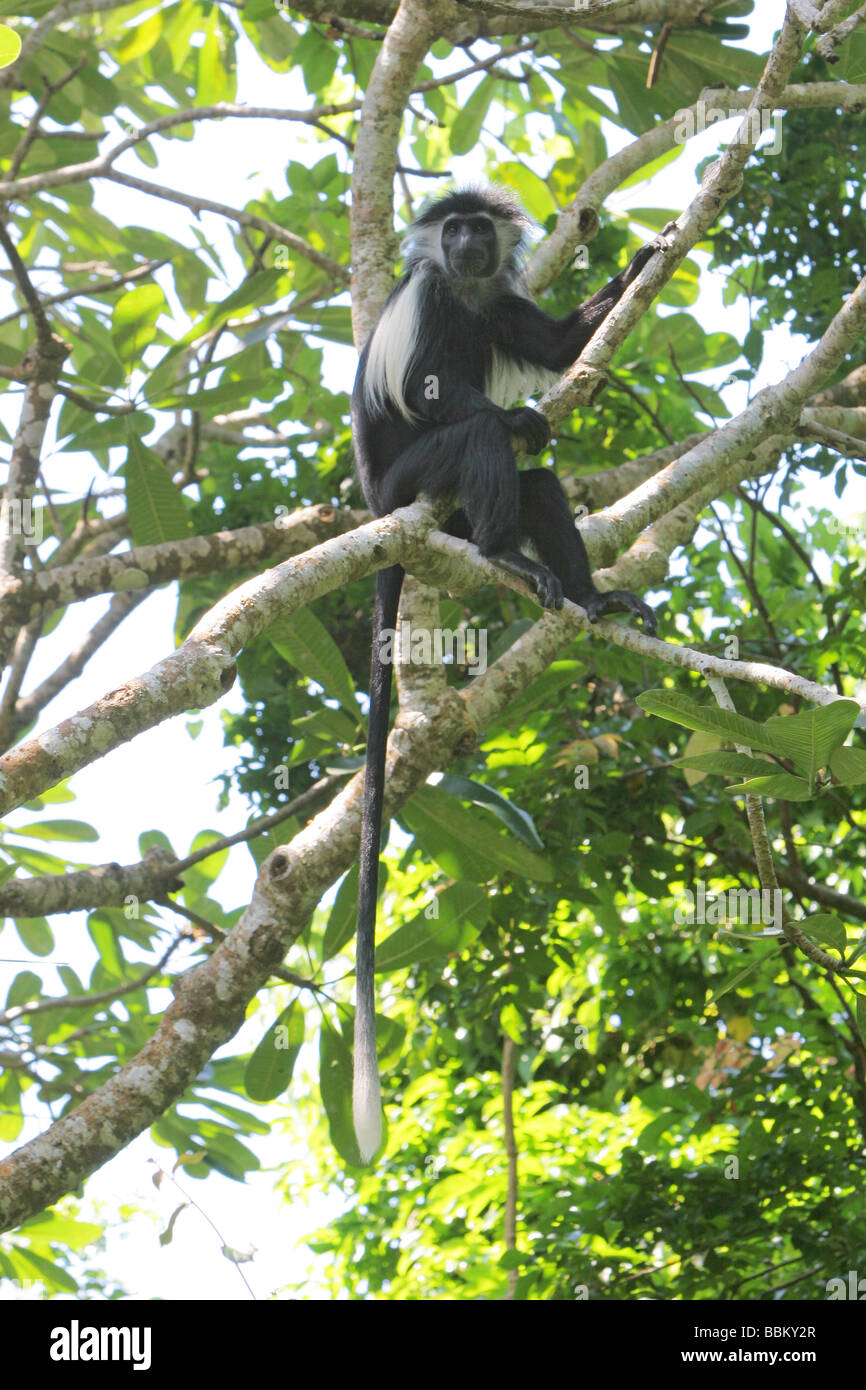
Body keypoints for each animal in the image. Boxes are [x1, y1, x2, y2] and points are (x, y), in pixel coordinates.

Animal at [348, 187, 667, 1162]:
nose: (460, 239)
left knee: (542, 488)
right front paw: (514, 415)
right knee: (480, 434)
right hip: (417, 479)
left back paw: (586, 594)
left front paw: (643, 258)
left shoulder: (498, 301)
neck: (465, 292)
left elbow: (560, 346)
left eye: (476, 231)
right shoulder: (429, 302)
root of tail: (378, 507)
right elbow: (429, 390)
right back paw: (499, 546)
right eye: (449, 230)